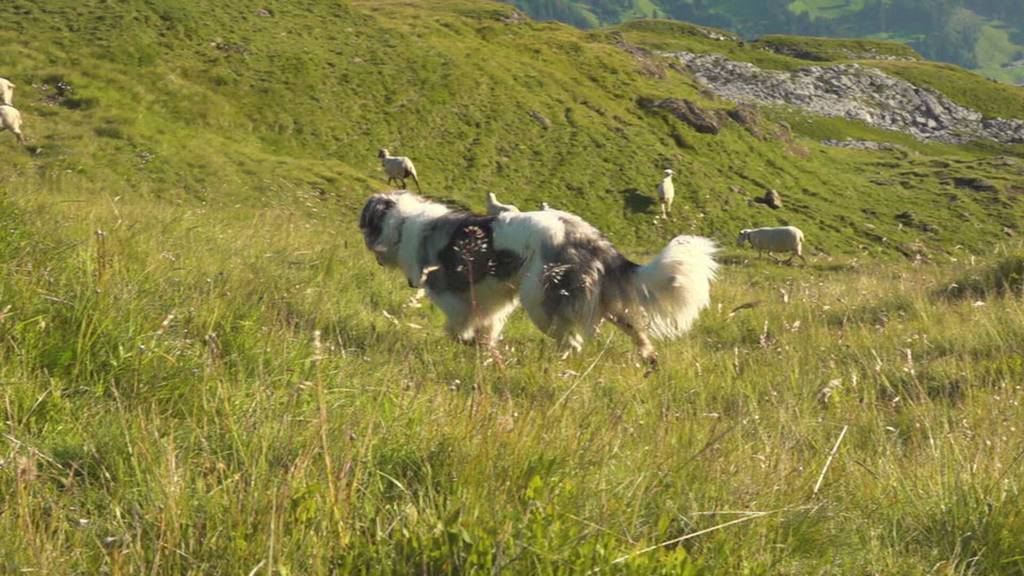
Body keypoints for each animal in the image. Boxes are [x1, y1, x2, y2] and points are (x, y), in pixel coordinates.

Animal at [360, 192, 720, 362]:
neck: (403, 225)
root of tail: (591, 238)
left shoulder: (454, 296)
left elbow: (460, 325)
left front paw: (466, 342)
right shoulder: (492, 301)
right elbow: (486, 327)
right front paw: (484, 349)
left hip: (540, 298)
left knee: (571, 341)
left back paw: (558, 362)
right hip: (607, 302)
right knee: (636, 329)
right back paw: (649, 358)